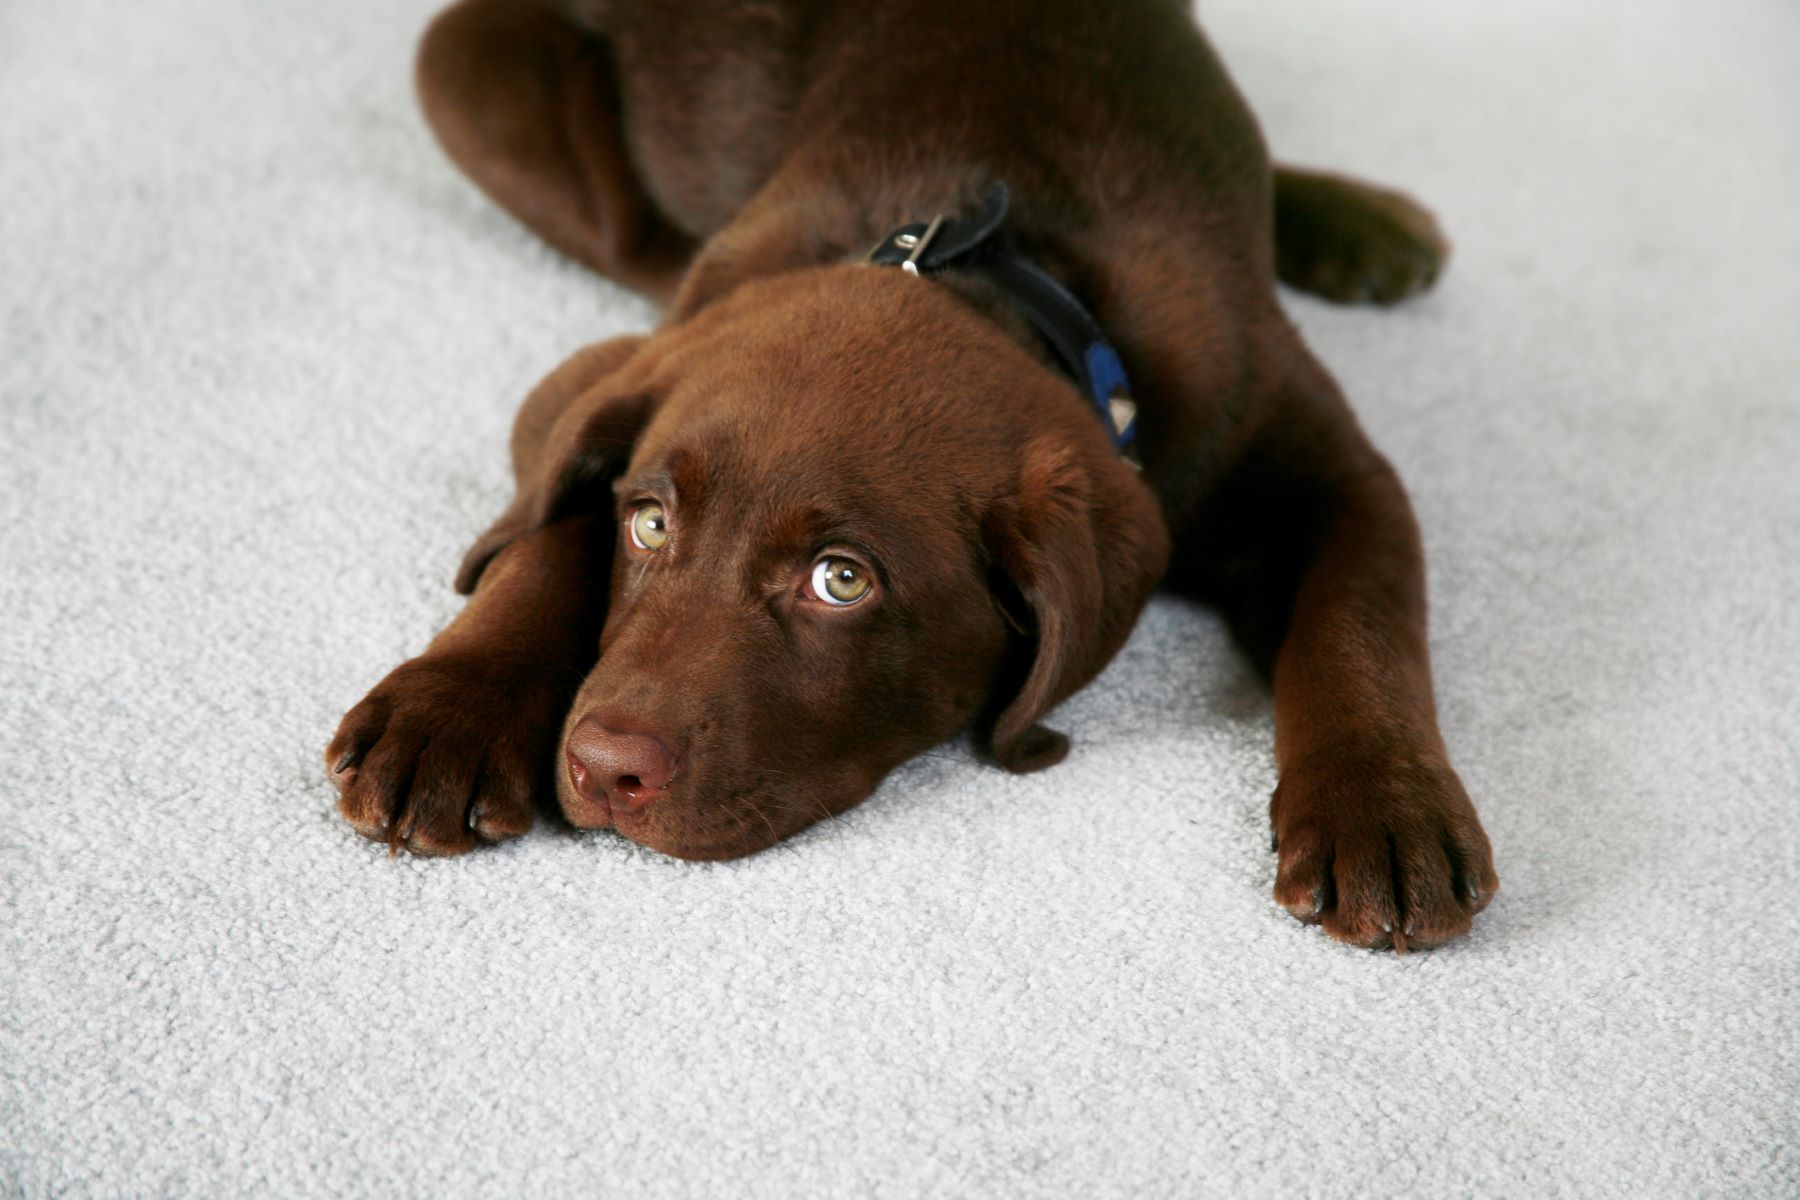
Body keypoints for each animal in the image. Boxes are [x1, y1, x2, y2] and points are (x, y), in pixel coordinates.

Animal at [320, 0, 1490, 957]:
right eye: (648, 524)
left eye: (844, 581)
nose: (606, 770)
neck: (1007, 272)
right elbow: (551, 522)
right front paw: (451, 706)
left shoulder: (1323, 464)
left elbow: (1360, 622)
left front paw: (1385, 811)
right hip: (469, 69)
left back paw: (1356, 222)